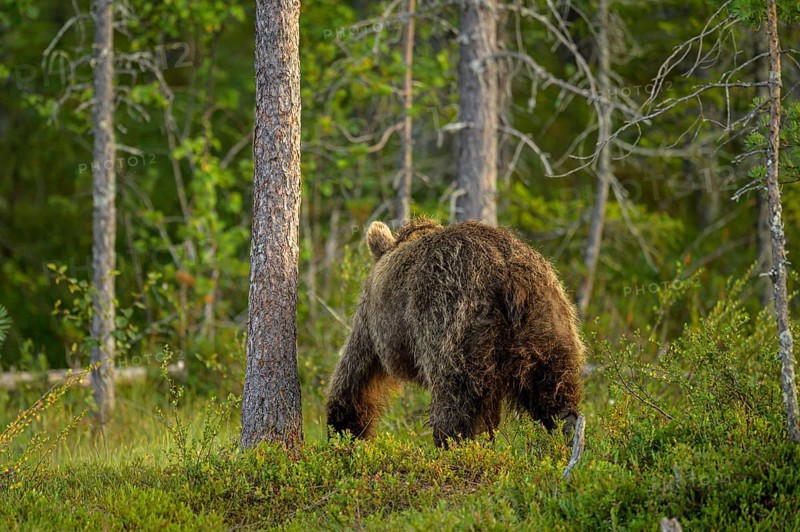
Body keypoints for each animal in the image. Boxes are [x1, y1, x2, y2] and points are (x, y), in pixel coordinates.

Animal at [326, 218, 585, 447]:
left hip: (453, 321)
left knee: (455, 403)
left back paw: (455, 449)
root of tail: (511, 275)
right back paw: (567, 439)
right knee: (554, 394)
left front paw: (342, 432)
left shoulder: (373, 325)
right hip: (547, 323)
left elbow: (356, 378)